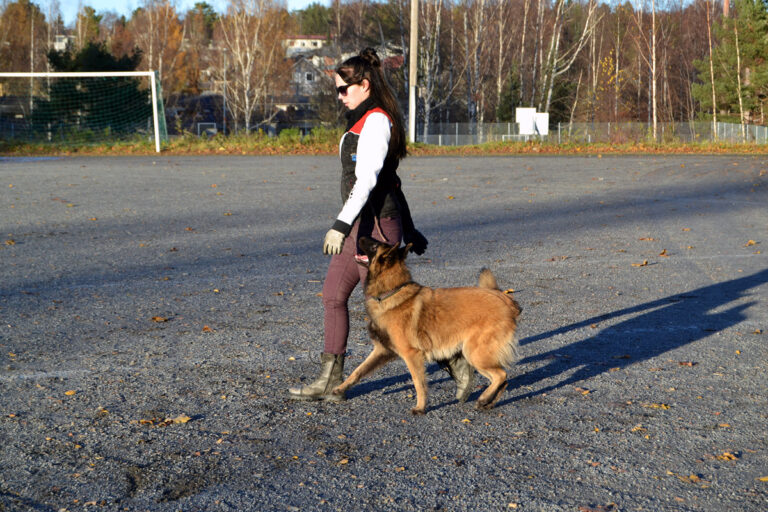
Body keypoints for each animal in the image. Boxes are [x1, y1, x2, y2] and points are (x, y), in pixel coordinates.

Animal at [332, 238, 520, 414]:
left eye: (374, 245)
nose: (360, 236)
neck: (390, 292)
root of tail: (506, 299)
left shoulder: (411, 355)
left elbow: (419, 383)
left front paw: (421, 407)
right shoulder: (382, 351)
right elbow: (358, 371)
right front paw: (340, 388)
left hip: (474, 353)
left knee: (501, 375)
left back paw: (483, 398)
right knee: (503, 380)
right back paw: (488, 402)